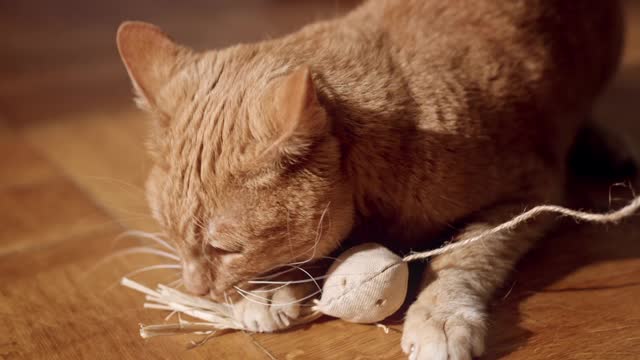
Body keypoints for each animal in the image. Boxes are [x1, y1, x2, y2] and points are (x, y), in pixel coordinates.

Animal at [117, 0, 624, 358]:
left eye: (226, 249)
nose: (196, 289)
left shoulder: (529, 194)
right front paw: (274, 288)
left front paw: (440, 314)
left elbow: (464, 256)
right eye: (169, 234)